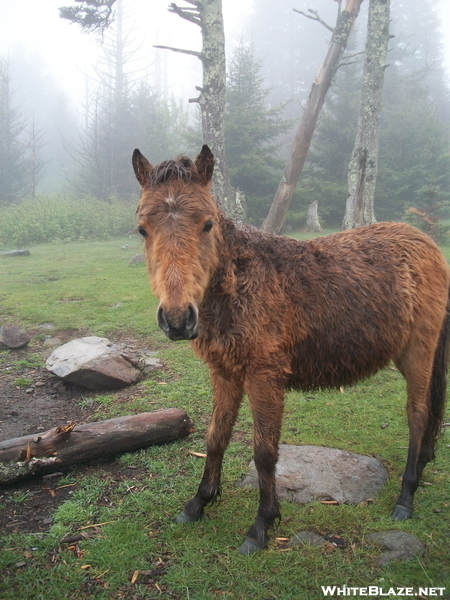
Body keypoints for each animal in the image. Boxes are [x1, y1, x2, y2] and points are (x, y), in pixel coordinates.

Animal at [134, 144, 450, 552]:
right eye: (143, 229)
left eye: (207, 224)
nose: (177, 319)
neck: (242, 282)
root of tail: (426, 243)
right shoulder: (224, 373)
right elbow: (216, 438)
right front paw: (198, 503)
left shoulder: (265, 378)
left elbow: (264, 453)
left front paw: (261, 526)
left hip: (418, 353)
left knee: (418, 415)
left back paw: (406, 496)